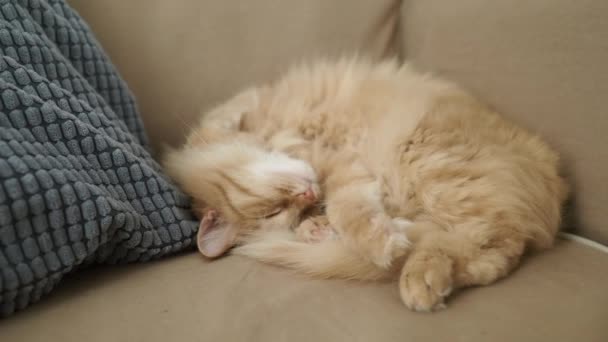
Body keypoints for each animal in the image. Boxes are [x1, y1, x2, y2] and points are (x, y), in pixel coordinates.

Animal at [164, 57, 568, 312]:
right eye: (282, 214)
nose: (308, 196)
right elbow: (342, 210)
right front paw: (319, 227)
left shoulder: (333, 160)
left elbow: (350, 208)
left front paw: (378, 241)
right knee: (486, 254)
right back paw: (423, 279)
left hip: (424, 158)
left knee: (488, 238)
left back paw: (416, 273)